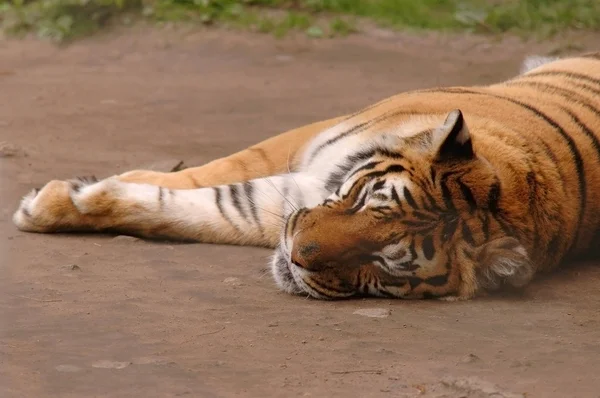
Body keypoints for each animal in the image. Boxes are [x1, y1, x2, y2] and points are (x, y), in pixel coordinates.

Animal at [11, 52, 600, 302]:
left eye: (384, 263)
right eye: (366, 200)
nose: (294, 257)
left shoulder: (279, 205)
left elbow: (201, 207)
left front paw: (59, 202)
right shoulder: (299, 151)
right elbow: (221, 171)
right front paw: (52, 203)